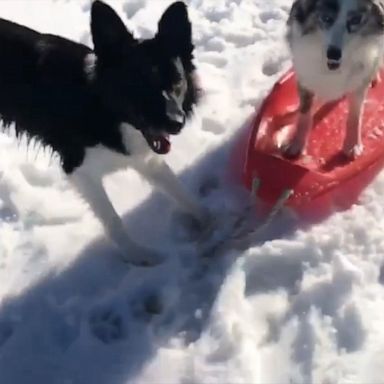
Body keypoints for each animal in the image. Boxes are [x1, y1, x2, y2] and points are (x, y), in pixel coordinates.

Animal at [0, 0, 210, 264]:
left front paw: (213, 221)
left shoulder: (145, 157)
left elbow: (178, 188)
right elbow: (113, 219)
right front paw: (138, 256)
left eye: (177, 82)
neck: (103, 109)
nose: (176, 123)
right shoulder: (79, 169)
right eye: (138, 87)